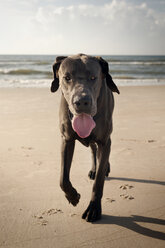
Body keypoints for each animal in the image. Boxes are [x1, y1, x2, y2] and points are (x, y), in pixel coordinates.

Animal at [50, 53, 120, 221]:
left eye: (93, 77)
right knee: (93, 150)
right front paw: (72, 196)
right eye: (67, 77)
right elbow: (63, 178)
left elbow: (99, 182)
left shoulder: (104, 141)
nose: (82, 102)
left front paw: (94, 208)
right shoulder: (66, 140)